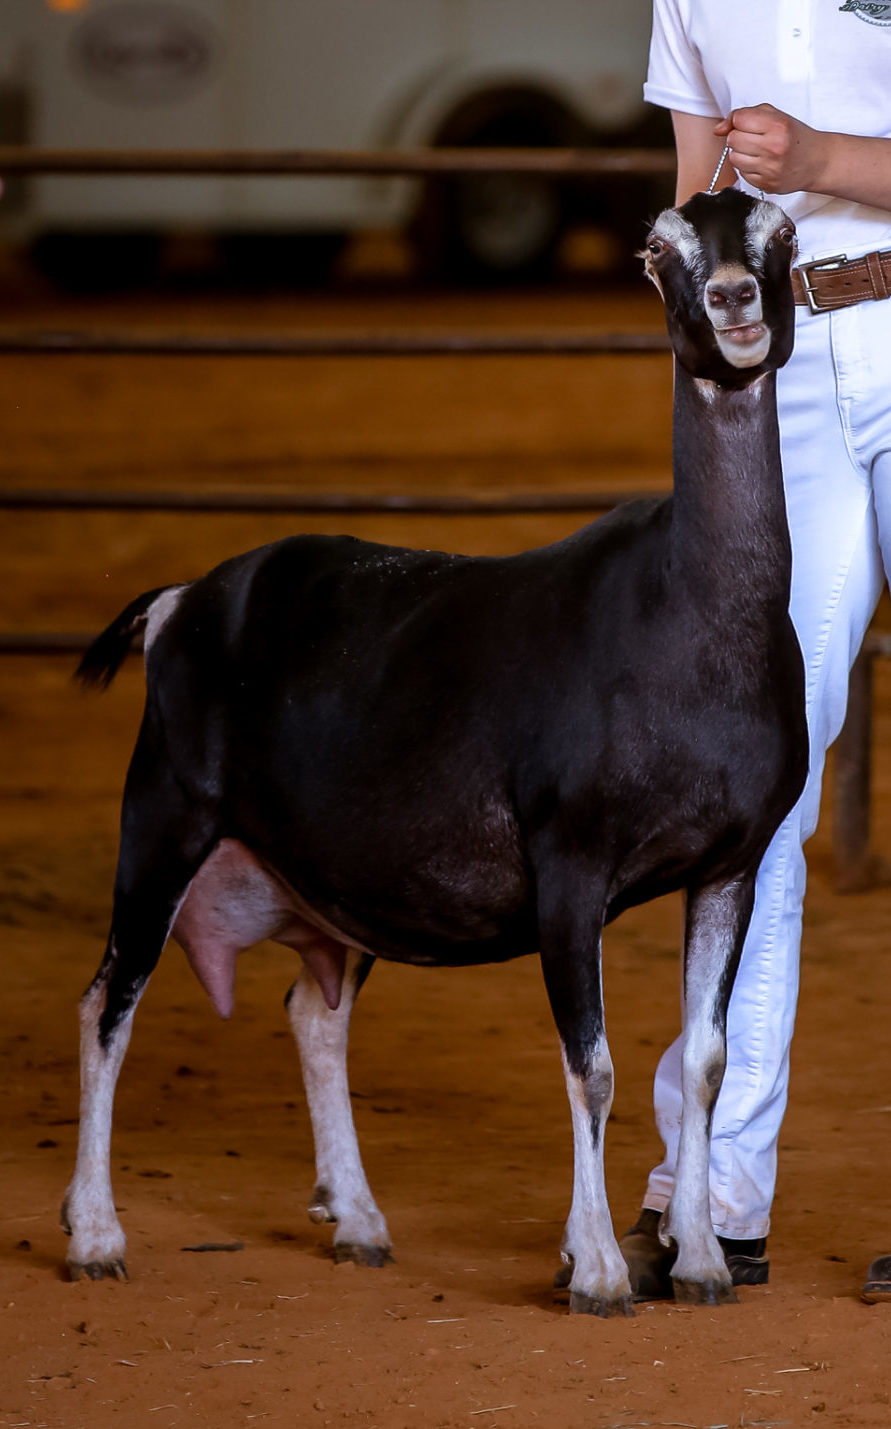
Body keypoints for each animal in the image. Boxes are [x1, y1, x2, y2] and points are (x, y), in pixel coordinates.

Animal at [62, 189, 806, 1316]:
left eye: (783, 233)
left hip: (335, 875)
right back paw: (96, 1234)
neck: (683, 616)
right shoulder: (568, 867)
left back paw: (359, 1222)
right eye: (657, 250)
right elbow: (591, 1065)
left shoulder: (730, 864)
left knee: (314, 1011)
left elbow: (707, 1062)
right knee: (110, 1000)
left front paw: (701, 1263)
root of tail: (183, 600)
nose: (731, 298)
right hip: (163, 816)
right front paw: (597, 1269)